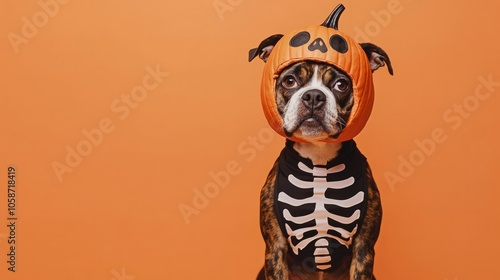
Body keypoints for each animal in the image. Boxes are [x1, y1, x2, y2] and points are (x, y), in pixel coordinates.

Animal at [248, 8, 392, 278]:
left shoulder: (364, 249)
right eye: (290, 81)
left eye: (341, 84)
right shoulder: (275, 248)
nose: (314, 96)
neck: (319, 156)